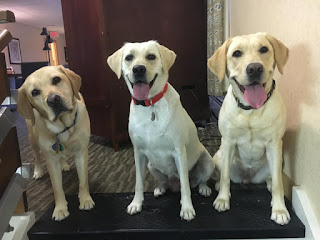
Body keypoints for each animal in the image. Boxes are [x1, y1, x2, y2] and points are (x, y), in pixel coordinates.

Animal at [107, 39, 215, 221]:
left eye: (151, 56)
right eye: (129, 57)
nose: (138, 69)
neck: (150, 104)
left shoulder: (179, 152)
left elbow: (186, 186)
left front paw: (187, 208)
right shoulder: (138, 153)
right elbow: (138, 183)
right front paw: (136, 203)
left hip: (207, 161)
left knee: (196, 181)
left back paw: (203, 188)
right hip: (152, 166)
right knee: (167, 182)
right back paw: (160, 188)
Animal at [208, 32, 290, 225]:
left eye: (264, 49)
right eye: (237, 53)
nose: (254, 68)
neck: (251, 110)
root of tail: (248, 178)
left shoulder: (274, 144)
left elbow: (278, 183)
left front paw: (279, 209)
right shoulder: (229, 142)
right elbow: (225, 177)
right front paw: (222, 199)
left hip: (276, 161)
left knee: (272, 177)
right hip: (219, 156)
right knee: (223, 174)